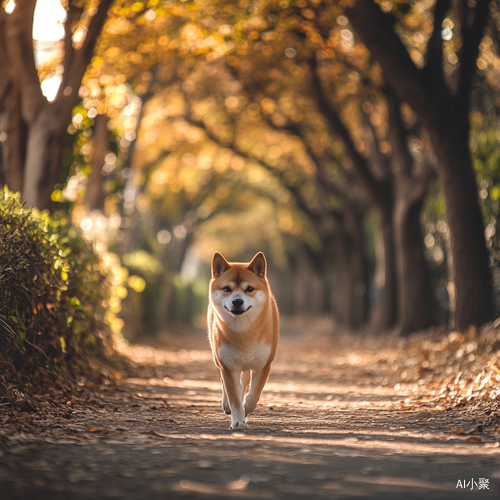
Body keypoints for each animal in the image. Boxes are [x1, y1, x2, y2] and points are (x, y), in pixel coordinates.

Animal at [206, 254, 280, 430]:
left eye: (249, 289)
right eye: (227, 289)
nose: (237, 301)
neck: (244, 332)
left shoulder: (263, 365)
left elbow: (254, 395)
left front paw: (246, 408)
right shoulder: (228, 366)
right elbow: (234, 397)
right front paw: (238, 421)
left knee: (244, 383)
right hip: (218, 358)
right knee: (227, 384)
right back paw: (227, 404)